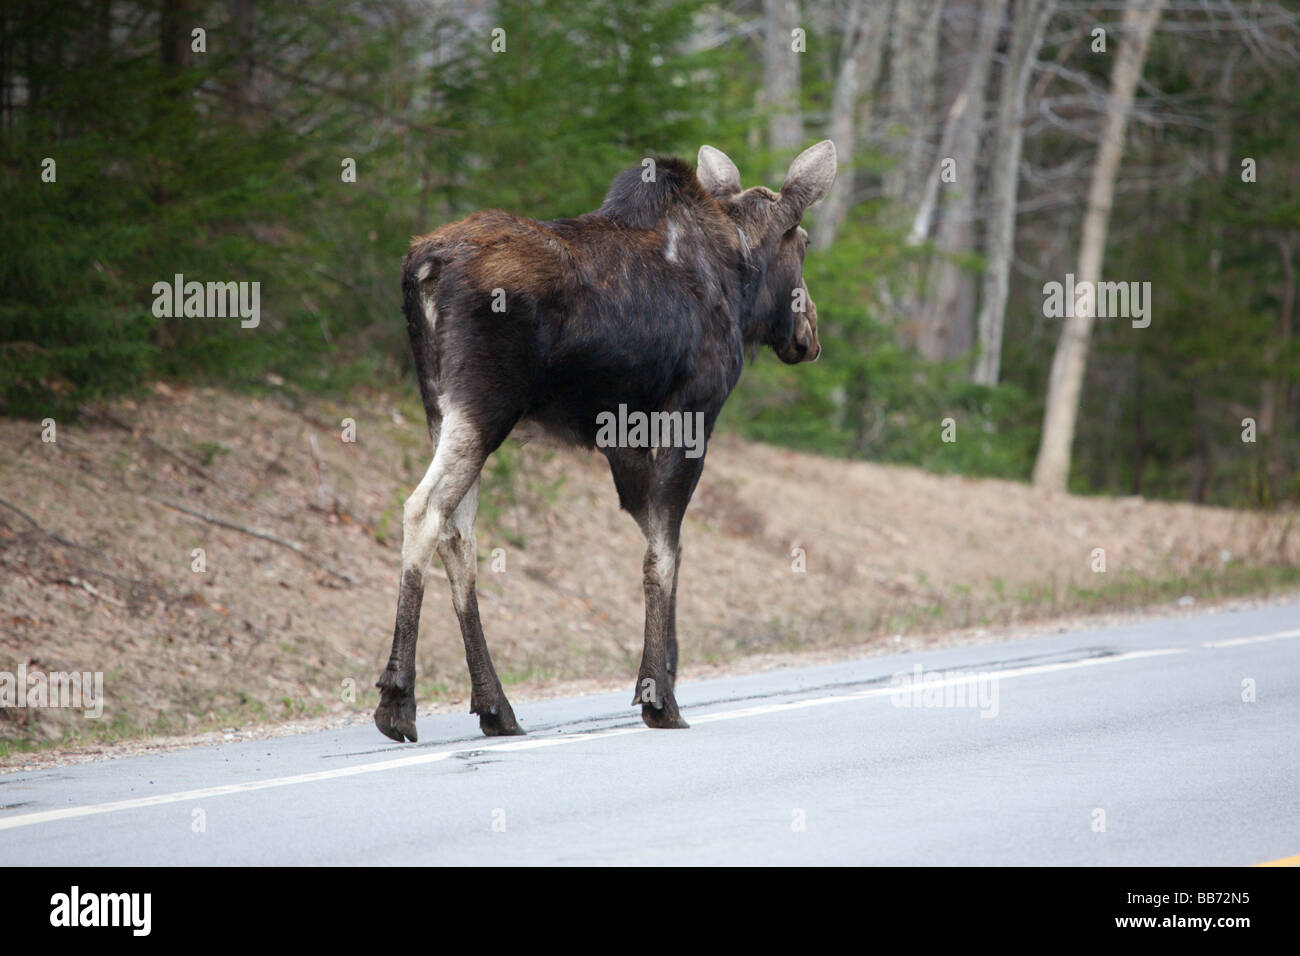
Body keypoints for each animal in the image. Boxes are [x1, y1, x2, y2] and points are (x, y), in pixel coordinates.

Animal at [371, 141, 837, 743]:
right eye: (803, 244)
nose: (810, 336)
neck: (742, 283)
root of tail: (422, 268)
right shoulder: (693, 413)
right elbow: (663, 552)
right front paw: (659, 698)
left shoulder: (623, 436)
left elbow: (664, 542)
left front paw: (665, 675)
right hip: (485, 405)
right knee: (425, 511)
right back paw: (398, 700)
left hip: (439, 406)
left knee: (459, 532)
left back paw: (495, 705)